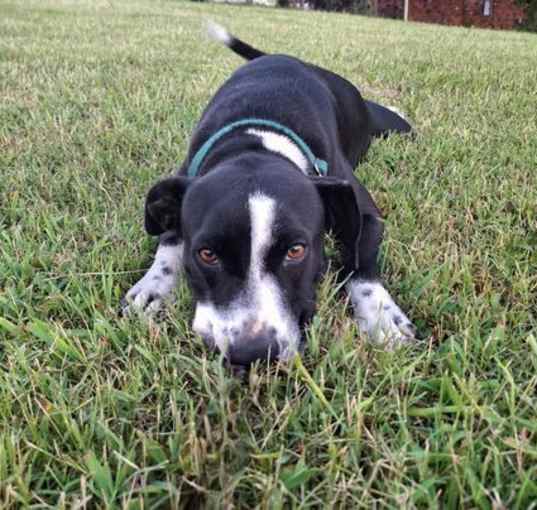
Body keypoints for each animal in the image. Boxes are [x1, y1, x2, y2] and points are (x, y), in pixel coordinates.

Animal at [123, 22, 416, 366]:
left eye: (296, 251)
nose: (253, 352)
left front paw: (381, 316)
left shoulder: (367, 214)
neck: (256, 143)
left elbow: (360, 261)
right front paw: (155, 285)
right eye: (206, 254)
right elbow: (169, 240)